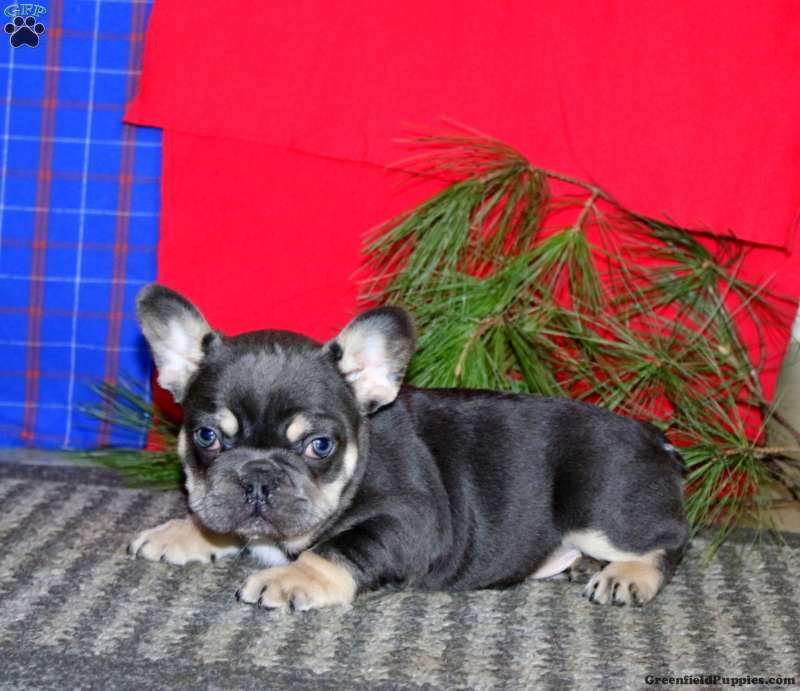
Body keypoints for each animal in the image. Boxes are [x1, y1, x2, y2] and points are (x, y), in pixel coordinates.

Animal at [128, 284, 688, 610]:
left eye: (320, 445)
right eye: (207, 436)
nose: (258, 477)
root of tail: (654, 439)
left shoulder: (413, 522)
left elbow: (340, 546)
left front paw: (291, 578)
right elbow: (217, 517)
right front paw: (184, 531)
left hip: (597, 507)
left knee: (668, 541)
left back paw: (626, 575)